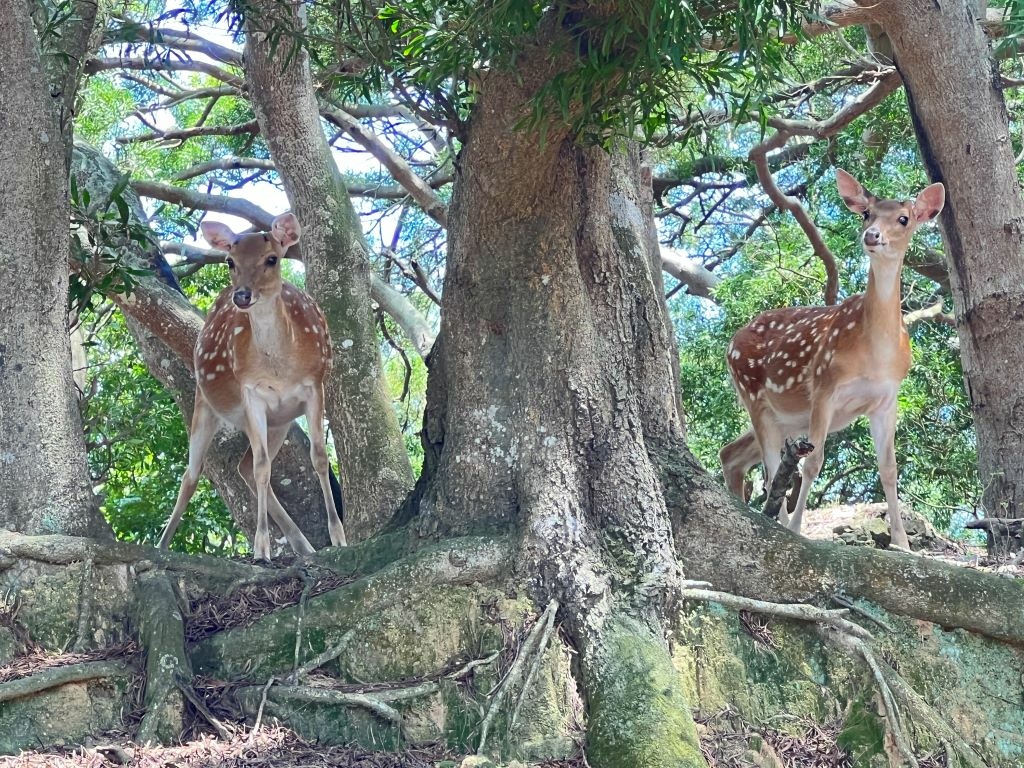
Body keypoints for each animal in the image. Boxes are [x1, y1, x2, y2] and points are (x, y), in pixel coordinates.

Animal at [157, 214, 346, 561]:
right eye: (230, 261)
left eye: (271, 258)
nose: (242, 295)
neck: (280, 367)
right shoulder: (252, 393)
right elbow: (261, 468)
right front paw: (261, 548)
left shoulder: (314, 386)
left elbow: (319, 458)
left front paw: (338, 537)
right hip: (207, 402)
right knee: (193, 474)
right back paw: (162, 545)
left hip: (280, 420)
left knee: (243, 467)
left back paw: (304, 545)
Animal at [720, 168, 942, 552]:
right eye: (867, 213)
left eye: (904, 218)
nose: (872, 235)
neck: (875, 354)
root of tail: (731, 341)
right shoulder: (825, 384)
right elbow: (813, 463)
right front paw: (797, 529)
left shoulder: (887, 398)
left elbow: (889, 468)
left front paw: (902, 542)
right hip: (753, 394)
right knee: (771, 467)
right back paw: (778, 525)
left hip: (784, 416)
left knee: (732, 454)